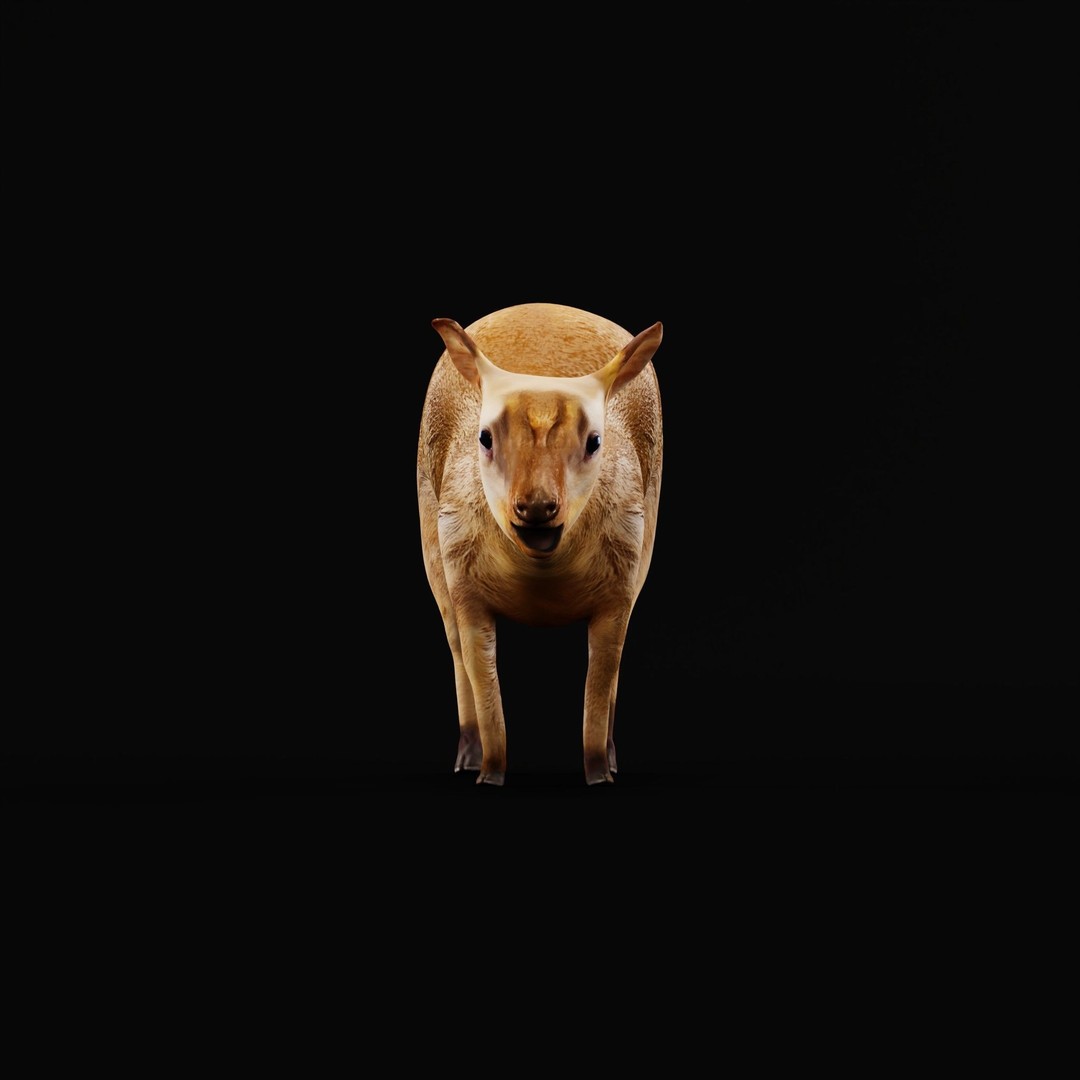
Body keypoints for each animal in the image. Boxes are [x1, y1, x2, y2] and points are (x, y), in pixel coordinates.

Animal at [417, 302, 663, 785]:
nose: (536, 508)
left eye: (595, 441)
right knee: (453, 647)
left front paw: (600, 774)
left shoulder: (620, 588)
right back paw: (465, 758)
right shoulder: (465, 587)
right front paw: (488, 774)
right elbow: (485, 691)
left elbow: (598, 689)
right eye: (484, 437)